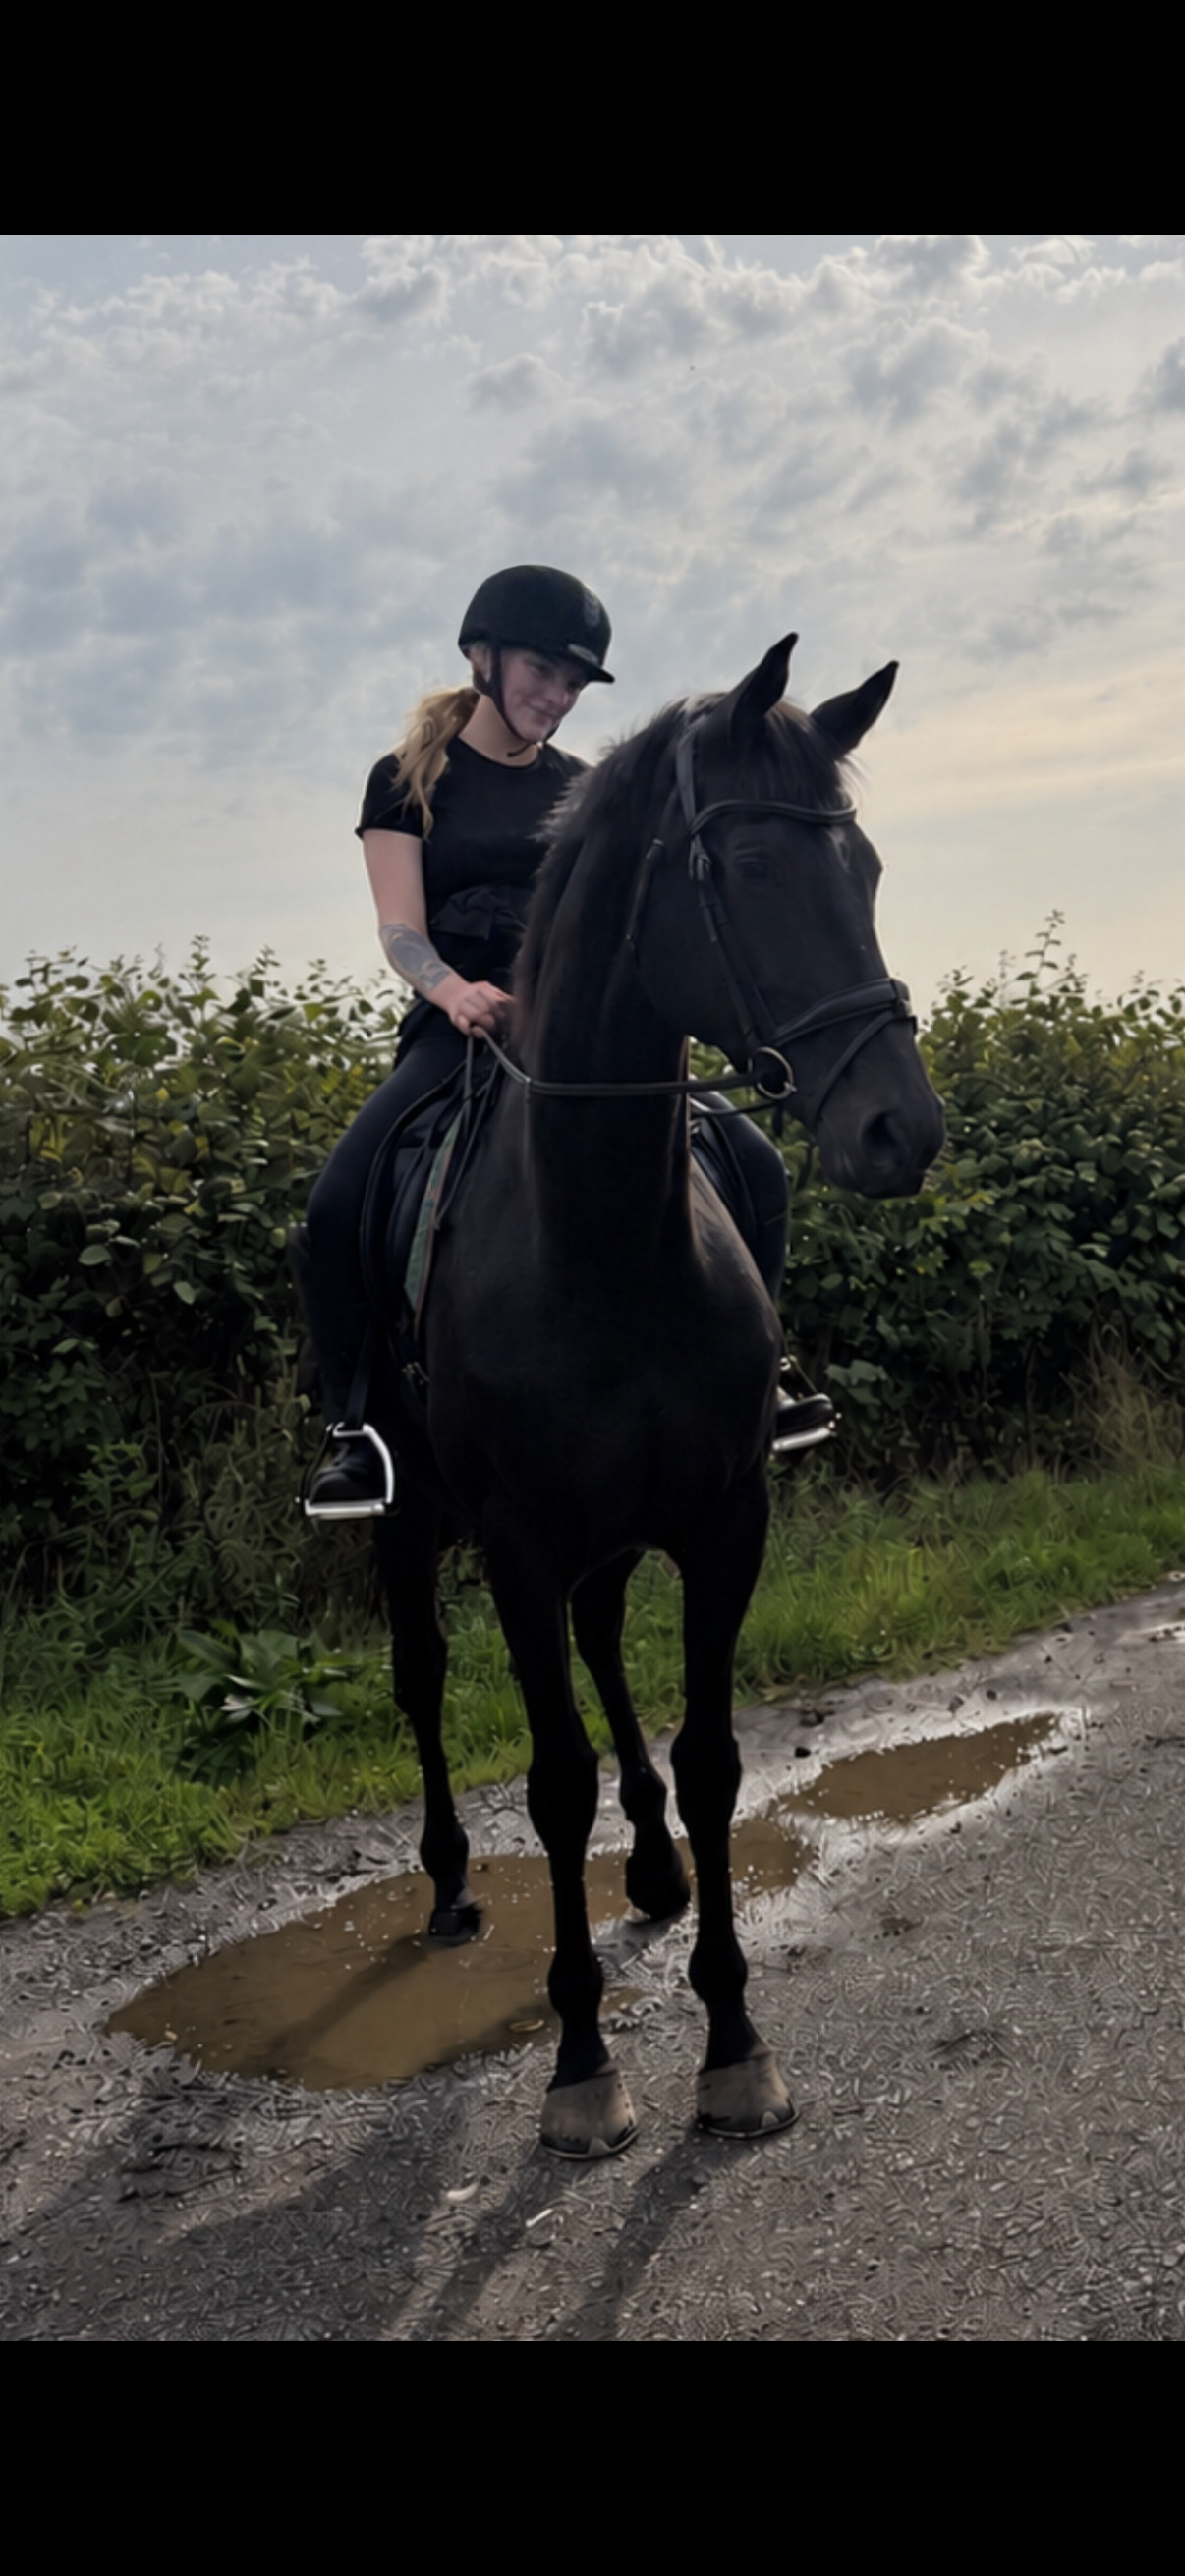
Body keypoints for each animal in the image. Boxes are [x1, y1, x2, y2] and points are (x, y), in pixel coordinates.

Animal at [371, 634, 945, 2158]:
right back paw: (451, 1885)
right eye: (739, 871)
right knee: (423, 1674)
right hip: (407, 1523)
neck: (601, 1232)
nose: (903, 1130)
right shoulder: (512, 1542)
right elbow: (551, 1780)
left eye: (864, 867)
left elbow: (710, 1760)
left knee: (603, 1645)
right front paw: (581, 2064)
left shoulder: (721, 1518)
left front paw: (733, 2039)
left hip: (615, 1532)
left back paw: (652, 1867)